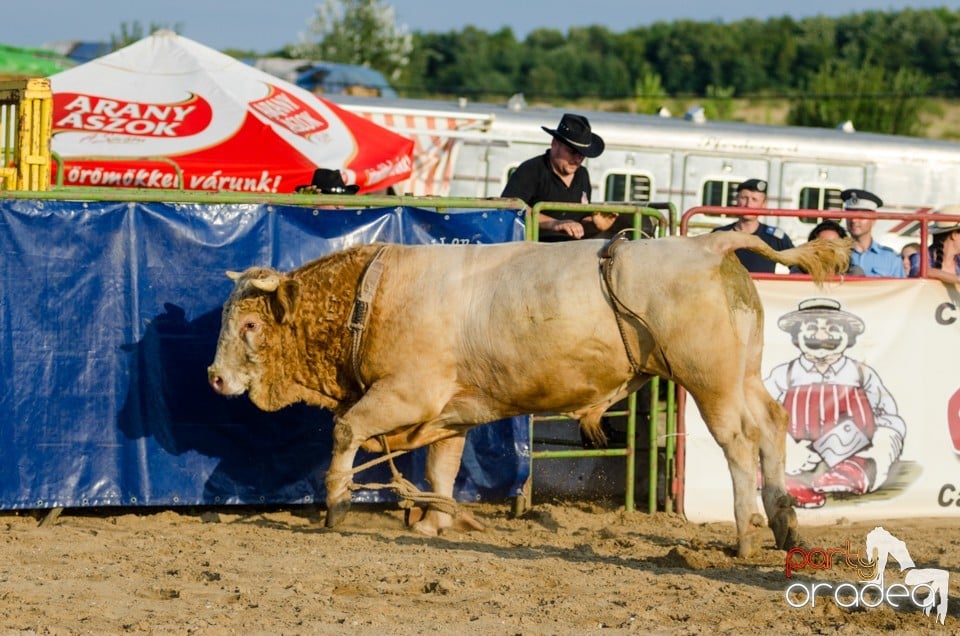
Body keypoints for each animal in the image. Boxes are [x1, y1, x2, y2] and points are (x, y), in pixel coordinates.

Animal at [208, 232, 848, 556]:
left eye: (250, 325)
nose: (214, 377)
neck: (374, 296)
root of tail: (713, 243)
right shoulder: (450, 412)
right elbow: (441, 467)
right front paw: (436, 521)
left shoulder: (408, 394)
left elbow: (345, 431)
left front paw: (337, 505)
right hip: (742, 372)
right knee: (772, 424)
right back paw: (784, 523)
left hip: (708, 378)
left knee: (738, 442)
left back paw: (744, 537)